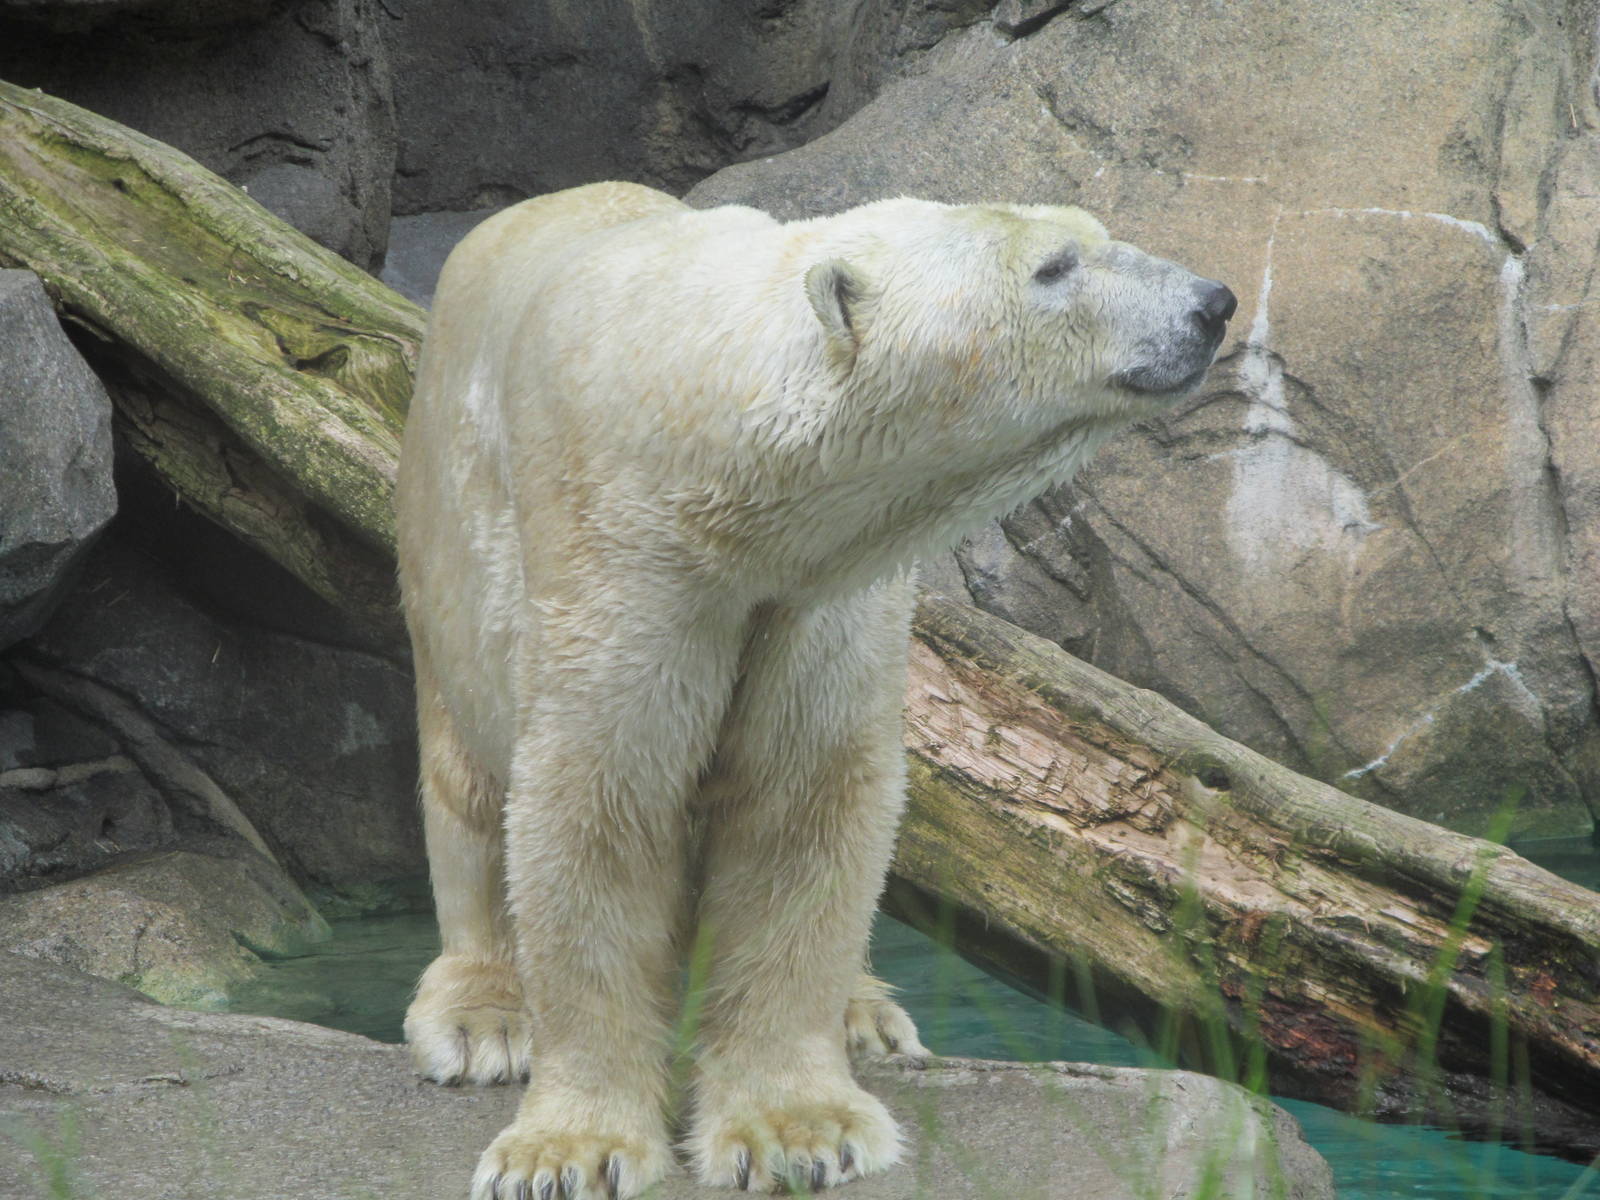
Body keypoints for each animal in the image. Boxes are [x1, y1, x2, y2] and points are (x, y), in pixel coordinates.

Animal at [395, 181, 1235, 1200]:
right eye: (1053, 267)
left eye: (1093, 236)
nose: (1213, 304)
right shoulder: (621, 554)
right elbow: (601, 799)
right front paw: (568, 1152)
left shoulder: (820, 591)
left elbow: (803, 800)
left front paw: (801, 1131)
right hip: (442, 529)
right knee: (467, 784)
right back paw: (486, 1019)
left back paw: (866, 1015)